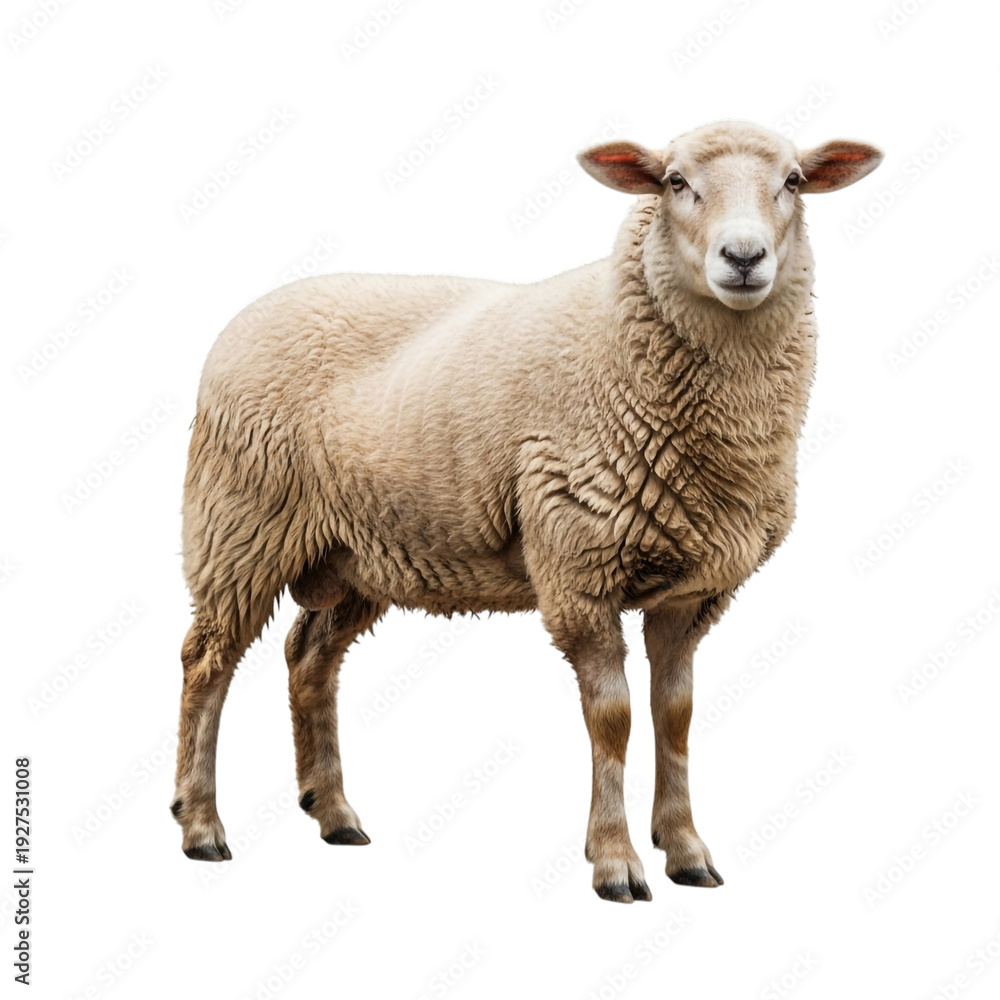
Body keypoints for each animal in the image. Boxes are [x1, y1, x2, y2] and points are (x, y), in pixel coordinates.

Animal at [171, 120, 882, 902]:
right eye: (674, 182)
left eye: (792, 181)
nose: (745, 257)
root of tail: (251, 313)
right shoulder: (578, 569)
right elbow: (614, 718)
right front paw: (615, 861)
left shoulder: (690, 595)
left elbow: (676, 717)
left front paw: (687, 849)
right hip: (240, 522)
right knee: (207, 661)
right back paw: (200, 825)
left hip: (359, 551)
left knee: (309, 657)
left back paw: (332, 813)